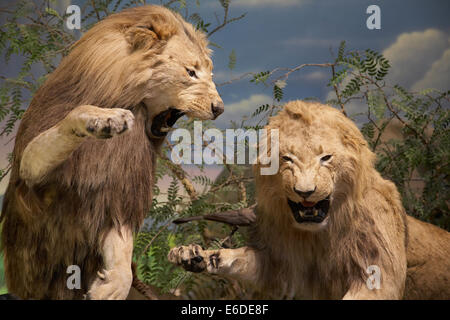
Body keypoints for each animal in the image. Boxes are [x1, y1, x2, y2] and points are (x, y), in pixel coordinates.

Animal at [0, 5, 224, 300]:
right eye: (191, 72)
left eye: (211, 73)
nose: (219, 108)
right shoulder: (30, 169)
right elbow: (74, 116)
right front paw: (103, 119)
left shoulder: (119, 192)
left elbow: (122, 250)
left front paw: (111, 287)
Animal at [170, 100, 450, 300]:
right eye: (287, 159)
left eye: (326, 158)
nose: (304, 191)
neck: (318, 232)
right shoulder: (280, 262)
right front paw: (197, 255)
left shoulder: (379, 267)